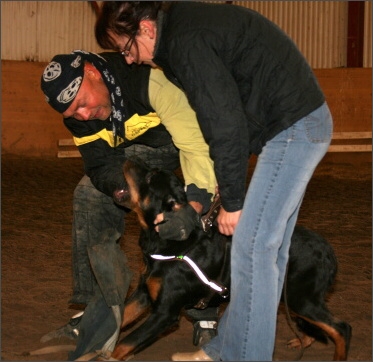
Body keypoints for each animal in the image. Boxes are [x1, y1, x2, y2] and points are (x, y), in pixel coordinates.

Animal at [112, 160, 350, 360]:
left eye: (151, 176)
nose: (128, 158)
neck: (171, 243)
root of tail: (328, 250)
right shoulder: (144, 293)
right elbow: (120, 320)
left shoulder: (165, 313)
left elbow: (124, 344)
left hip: (301, 297)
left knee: (341, 328)